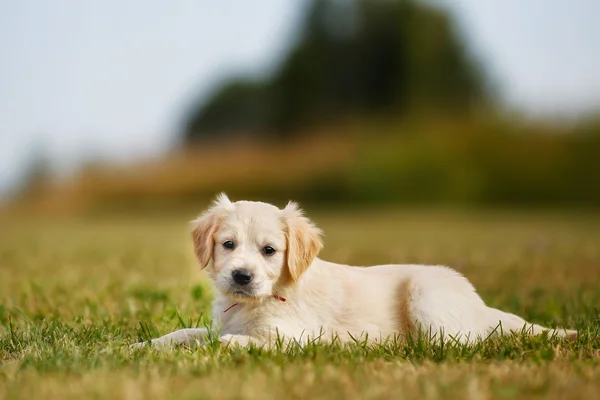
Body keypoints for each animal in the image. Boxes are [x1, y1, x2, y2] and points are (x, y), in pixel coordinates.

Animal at [132, 195, 576, 348]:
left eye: (269, 251)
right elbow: (186, 334)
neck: (259, 300)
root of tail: (481, 306)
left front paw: (224, 348)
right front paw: (142, 347)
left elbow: (234, 343)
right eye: (228, 245)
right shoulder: (218, 323)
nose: (241, 277)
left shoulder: (294, 337)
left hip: (427, 298)